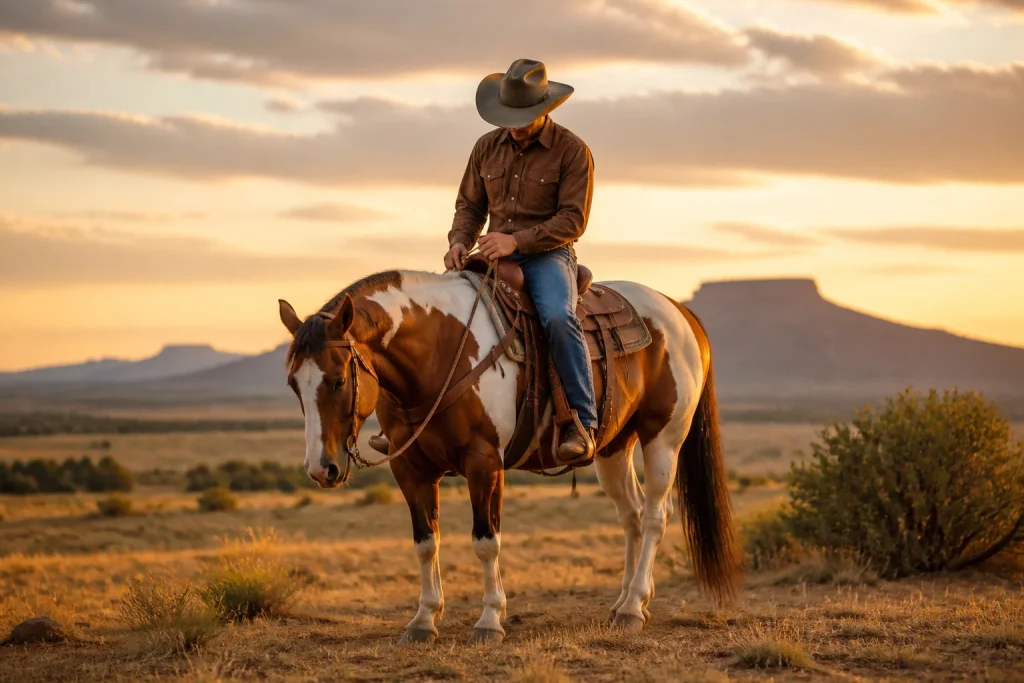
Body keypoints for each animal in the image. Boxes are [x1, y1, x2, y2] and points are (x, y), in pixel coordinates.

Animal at [278, 267, 740, 645]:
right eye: (293, 384)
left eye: (339, 380)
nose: (322, 468)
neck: (440, 350)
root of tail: (679, 311)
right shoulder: (409, 468)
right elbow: (425, 543)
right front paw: (423, 621)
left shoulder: (484, 462)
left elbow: (486, 541)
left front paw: (489, 622)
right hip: (613, 447)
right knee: (632, 516)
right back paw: (625, 602)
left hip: (663, 439)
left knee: (655, 516)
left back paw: (633, 608)